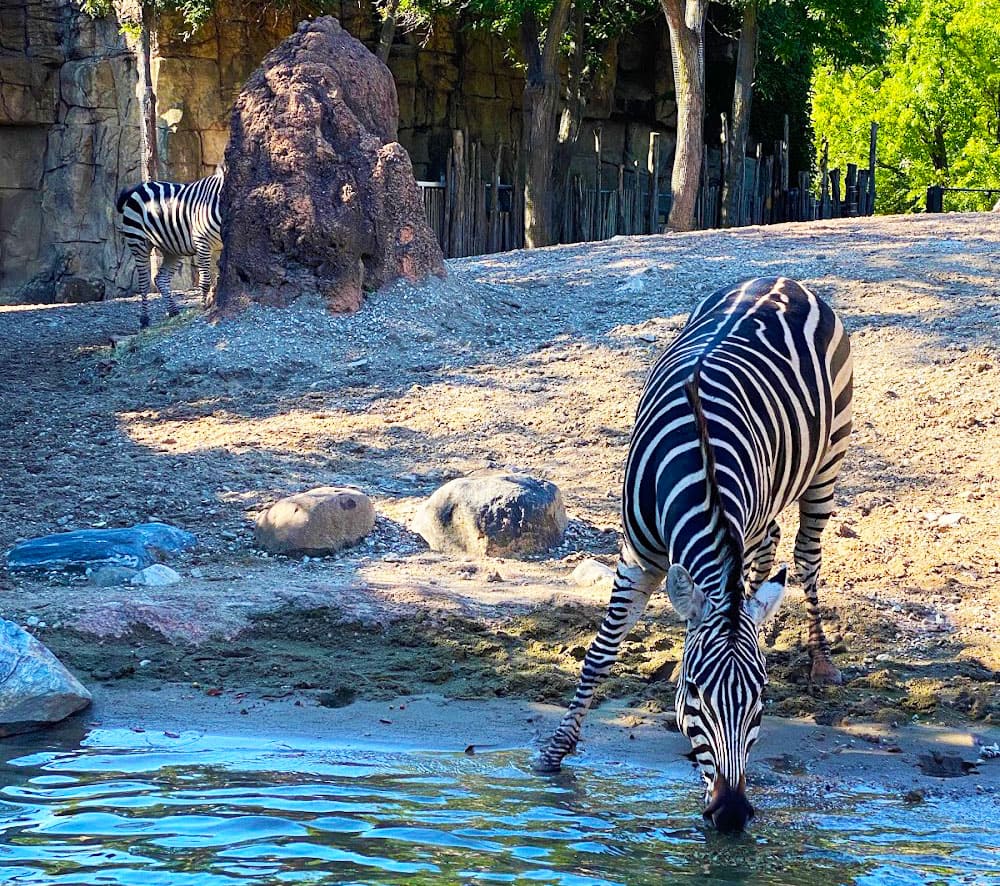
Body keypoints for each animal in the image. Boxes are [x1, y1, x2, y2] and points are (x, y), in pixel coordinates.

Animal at [116, 166, 224, 330]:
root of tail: (138, 188)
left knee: (160, 278)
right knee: (144, 282)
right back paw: (144, 320)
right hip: (138, 241)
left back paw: (173, 311)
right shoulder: (202, 242)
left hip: (173, 248)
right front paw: (203, 306)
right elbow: (205, 281)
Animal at [540, 280, 852, 836]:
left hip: (828, 457)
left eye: (760, 700)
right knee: (772, 554)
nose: (730, 814)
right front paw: (553, 755)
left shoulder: (736, 532)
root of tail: (782, 280)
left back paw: (821, 662)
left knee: (807, 558)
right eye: (695, 695)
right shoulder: (636, 555)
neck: (697, 461)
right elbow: (600, 654)